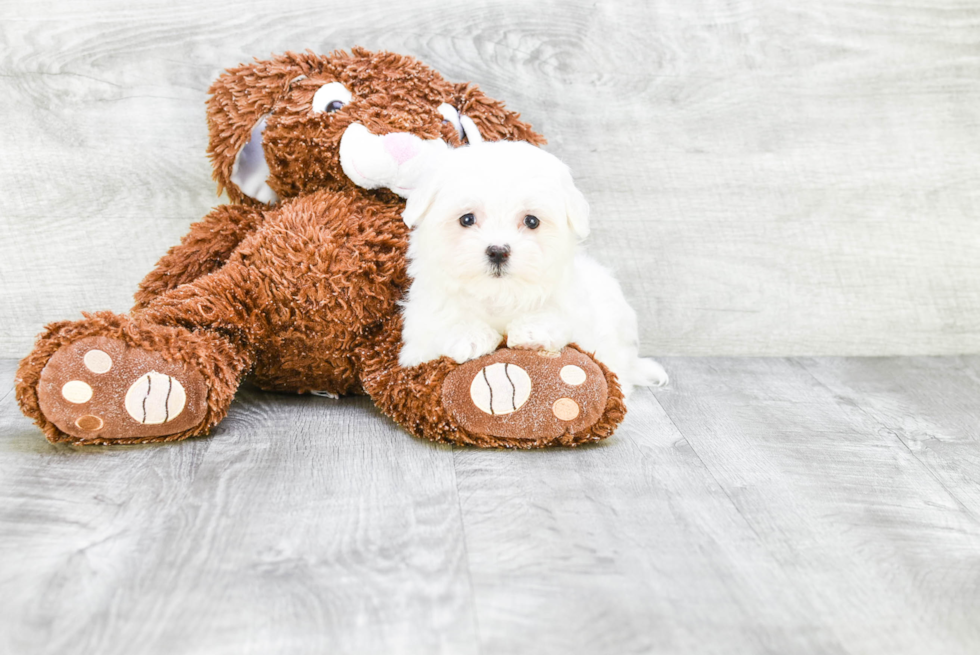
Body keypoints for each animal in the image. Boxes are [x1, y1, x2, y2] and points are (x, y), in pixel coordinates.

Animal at [398, 141, 668, 398]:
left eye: (531, 221)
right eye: (467, 219)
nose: (498, 251)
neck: (500, 294)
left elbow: (562, 321)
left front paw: (531, 331)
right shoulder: (417, 339)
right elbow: (442, 323)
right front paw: (469, 335)